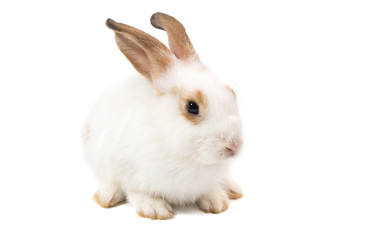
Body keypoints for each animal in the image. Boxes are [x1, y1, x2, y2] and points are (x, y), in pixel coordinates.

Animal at [83, 12, 243, 219]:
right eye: (192, 107)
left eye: (232, 93)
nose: (234, 145)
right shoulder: (127, 172)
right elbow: (137, 192)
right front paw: (154, 209)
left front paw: (216, 201)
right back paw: (107, 195)